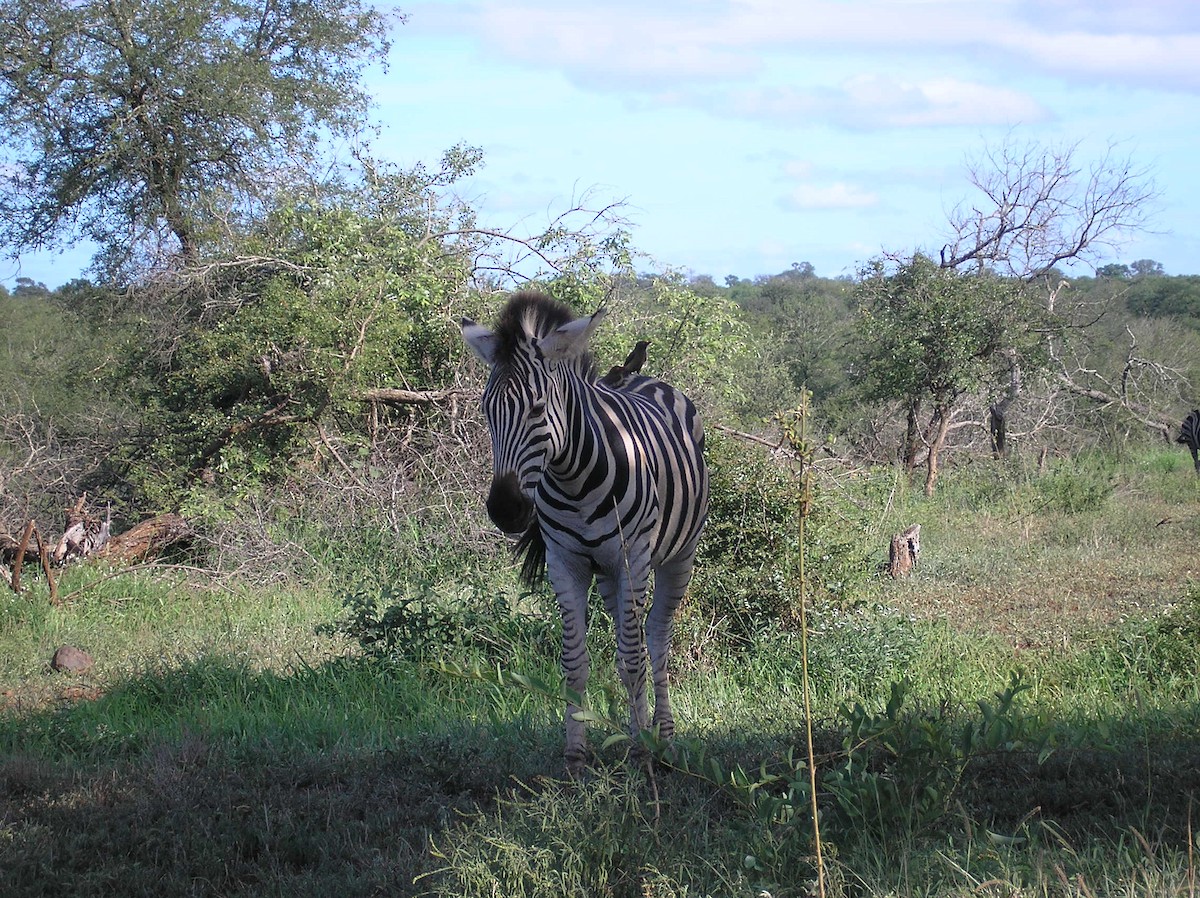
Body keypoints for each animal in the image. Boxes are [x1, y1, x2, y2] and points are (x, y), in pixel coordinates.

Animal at [456, 292, 700, 773]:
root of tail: (644, 379)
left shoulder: (632, 558)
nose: (505, 510)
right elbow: (575, 660)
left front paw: (640, 750)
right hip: (606, 572)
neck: (574, 479)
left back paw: (662, 736)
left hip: (674, 557)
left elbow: (632, 659)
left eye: (536, 408)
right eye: (486, 411)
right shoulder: (564, 562)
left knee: (655, 637)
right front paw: (576, 752)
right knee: (632, 635)